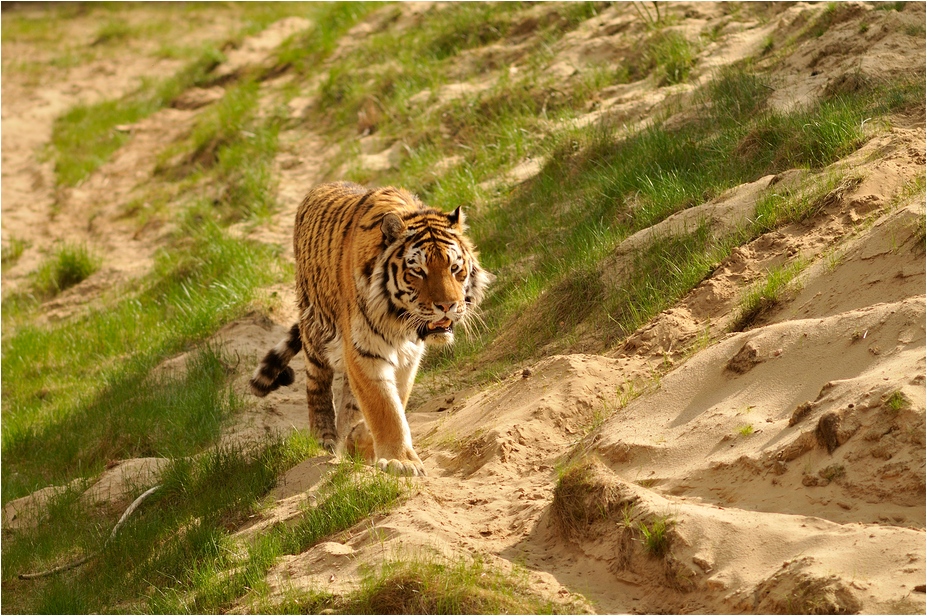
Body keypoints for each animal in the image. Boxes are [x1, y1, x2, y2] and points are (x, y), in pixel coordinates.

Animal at [250, 182, 492, 476]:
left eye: (455, 268)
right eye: (418, 271)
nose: (447, 305)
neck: (399, 320)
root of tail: (321, 186)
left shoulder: (409, 356)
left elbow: (393, 400)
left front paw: (359, 443)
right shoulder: (363, 350)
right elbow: (384, 407)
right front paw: (402, 461)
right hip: (315, 328)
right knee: (316, 380)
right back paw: (325, 435)